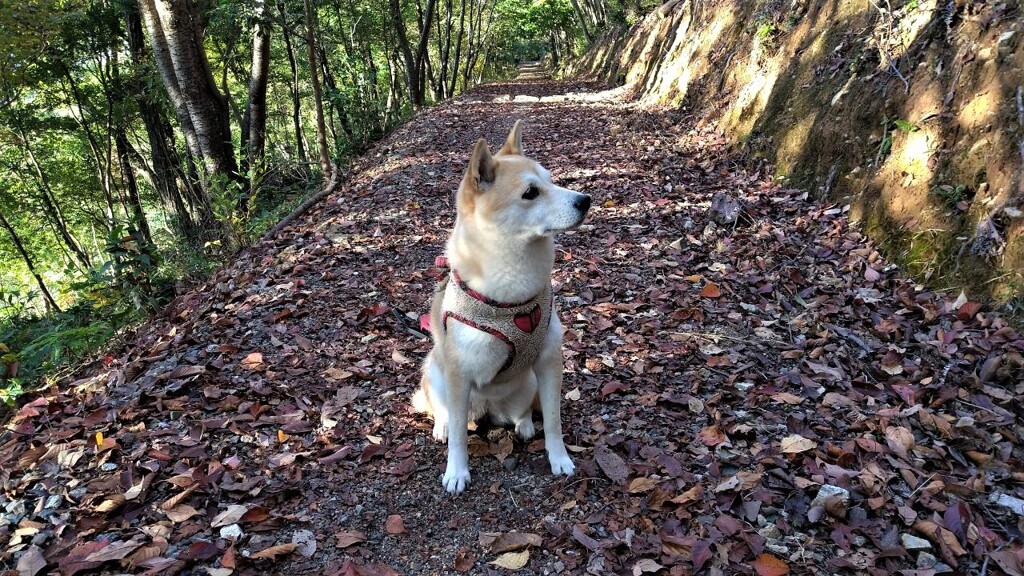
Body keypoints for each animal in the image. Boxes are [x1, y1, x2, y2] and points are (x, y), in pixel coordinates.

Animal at [411, 118, 593, 491]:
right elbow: (459, 438)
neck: (512, 299)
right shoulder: (458, 374)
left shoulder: (550, 362)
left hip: (530, 383)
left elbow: (554, 422)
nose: (585, 200)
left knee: (525, 411)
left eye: (551, 180)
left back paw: (523, 423)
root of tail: (489, 410)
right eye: (530, 193)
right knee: (443, 412)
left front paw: (560, 459)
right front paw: (457, 472)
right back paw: (442, 425)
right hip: (435, 371)